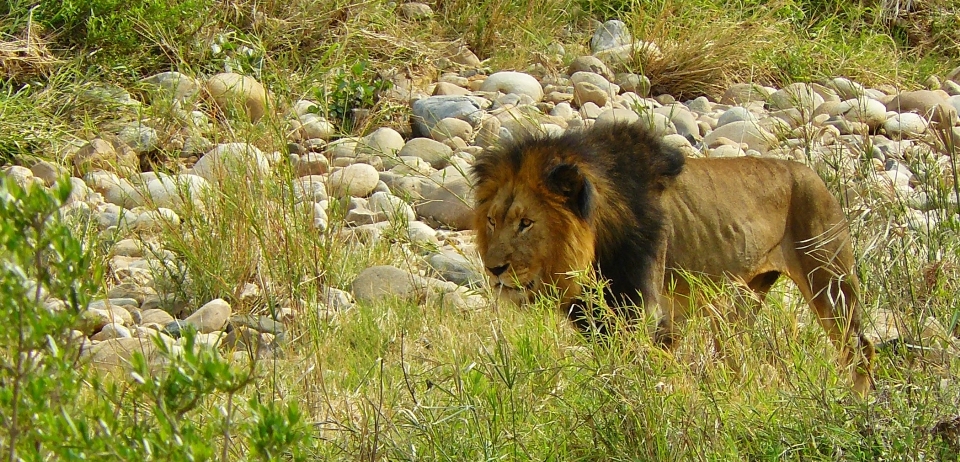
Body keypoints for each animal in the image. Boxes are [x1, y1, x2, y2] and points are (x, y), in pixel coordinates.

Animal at [472, 121, 876, 396]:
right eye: (492, 221)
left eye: (526, 223)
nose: (494, 269)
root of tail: (813, 174)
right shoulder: (599, 319)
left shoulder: (646, 314)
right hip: (742, 300)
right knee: (734, 355)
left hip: (830, 284)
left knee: (860, 348)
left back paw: (856, 405)